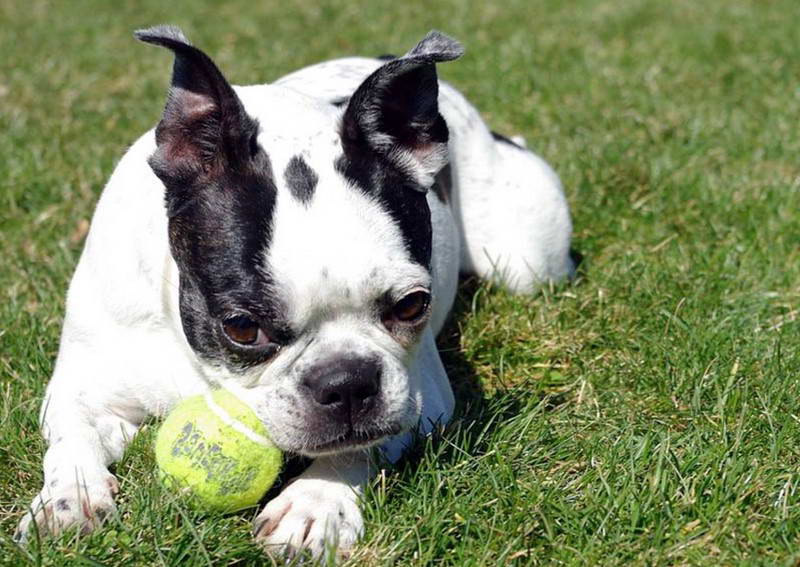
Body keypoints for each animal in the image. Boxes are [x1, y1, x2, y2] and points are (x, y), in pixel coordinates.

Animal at [14, 25, 576, 560]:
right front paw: (69, 501)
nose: (347, 382)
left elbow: (358, 445)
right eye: (242, 327)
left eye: (413, 305)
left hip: (524, 261)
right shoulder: (81, 391)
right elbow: (72, 439)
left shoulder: (422, 397)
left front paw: (315, 504)